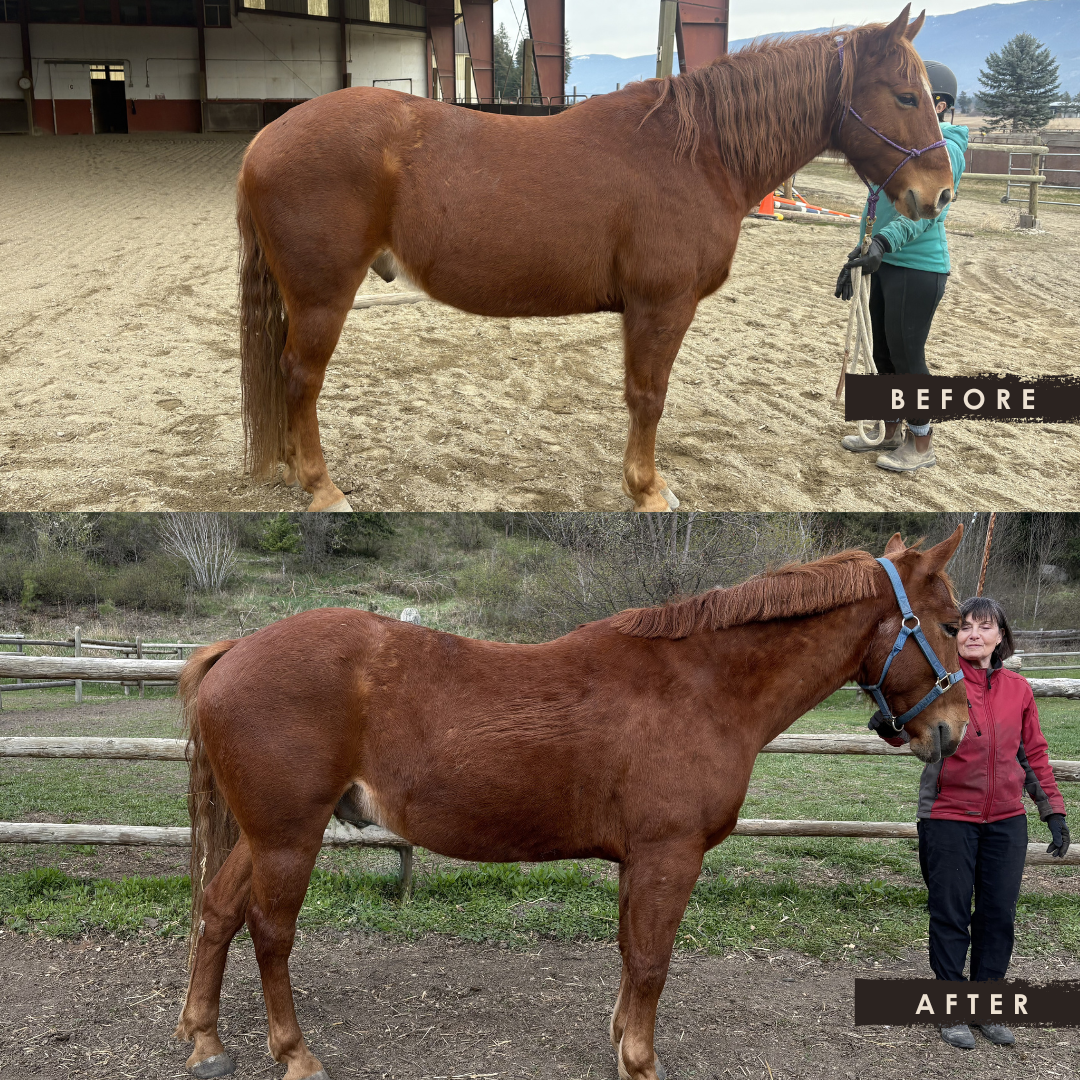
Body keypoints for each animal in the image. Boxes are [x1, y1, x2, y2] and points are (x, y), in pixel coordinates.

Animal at [174, 525, 967, 1080]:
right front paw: (642, 1062)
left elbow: (628, 951)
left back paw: (207, 1041)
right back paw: (295, 1053)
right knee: (269, 931)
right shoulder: (669, 855)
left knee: (217, 911)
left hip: (263, 834)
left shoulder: (638, 859)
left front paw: (623, 1042)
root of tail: (239, 648)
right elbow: (651, 960)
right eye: (955, 624)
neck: (700, 686)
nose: (953, 731)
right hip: (289, 836)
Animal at [234, 6, 953, 513]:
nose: (940, 193)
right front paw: (649, 490)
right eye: (905, 96)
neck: (698, 153)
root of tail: (266, 139)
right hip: (323, 296)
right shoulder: (661, 307)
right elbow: (649, 396)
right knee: (301, 376)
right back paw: (323, 488)